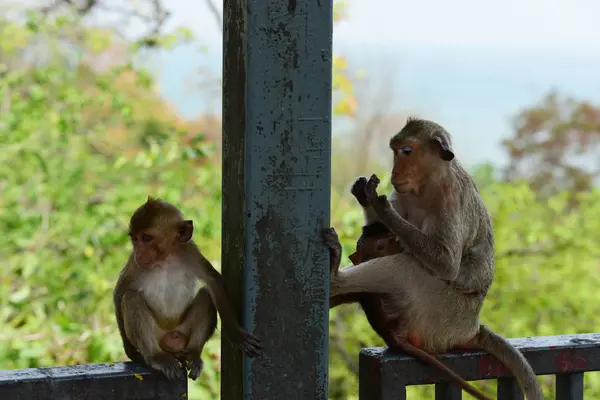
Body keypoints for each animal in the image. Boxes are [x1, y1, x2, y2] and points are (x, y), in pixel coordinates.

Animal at [113, 198, 262, 380]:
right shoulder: (135, 265)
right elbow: (121, 292)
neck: (166, 258)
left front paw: (236, 334)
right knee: (131, 297)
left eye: (146, 238)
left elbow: (213, 283)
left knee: (206, 294)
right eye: (134, 239)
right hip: (157, 336)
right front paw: (130, 351)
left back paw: (193, 353)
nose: (138, 252)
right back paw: (157, 358)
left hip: (183, 332)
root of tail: (170, 338)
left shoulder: (191, 252)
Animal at [324, 118, 544, 400]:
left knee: (404, 267)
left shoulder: (450, 197)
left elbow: (446, 264)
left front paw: (381, 206)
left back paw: (335, 277)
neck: (427, 184)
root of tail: (471, 329)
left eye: (406, 151)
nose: (394, 172)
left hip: (440, 315)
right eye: (395, 151)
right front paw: (365, 197)